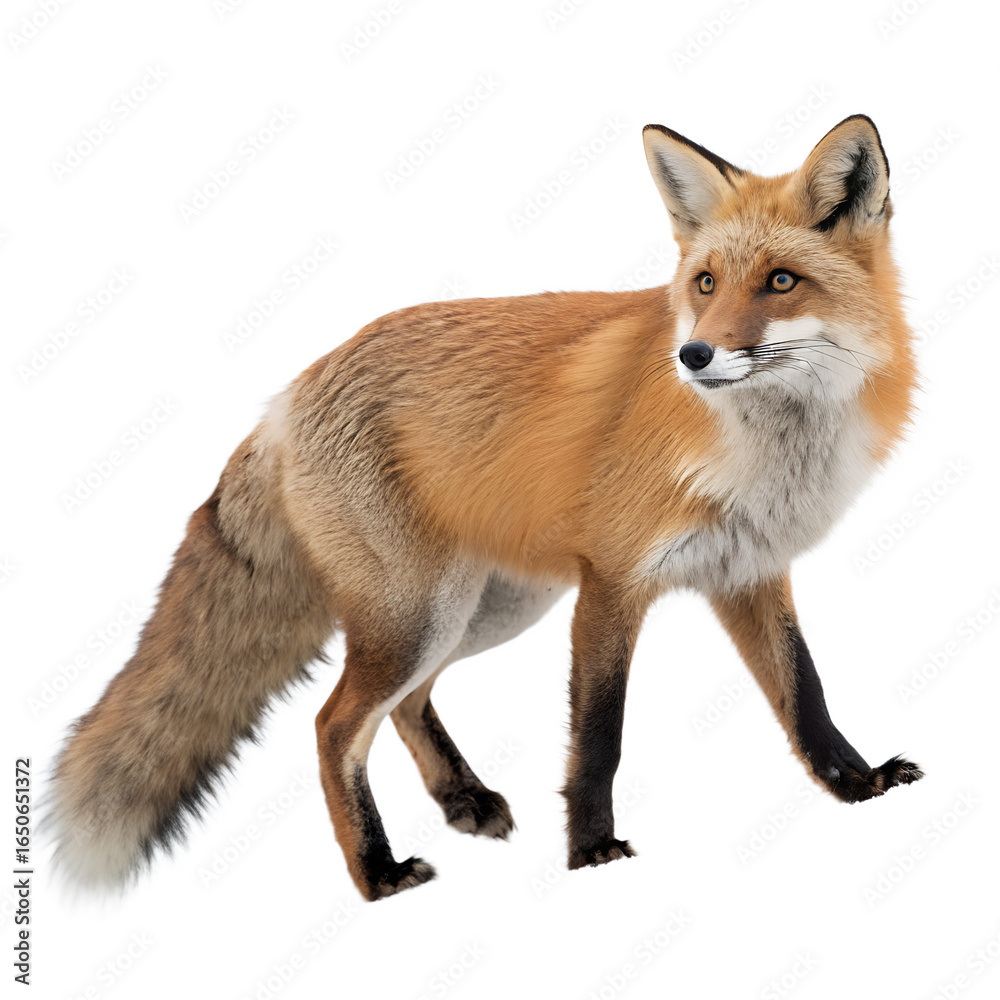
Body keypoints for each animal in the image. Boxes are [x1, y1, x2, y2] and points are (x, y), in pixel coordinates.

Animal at [50, 114, 922, 902]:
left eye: (781, 281)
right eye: (705, 283)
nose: (695, 355)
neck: (763, 451)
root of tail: (290, 394)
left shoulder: (748, 573)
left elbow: (805, 694)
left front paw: (855, 783)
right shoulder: (612, 583)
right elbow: (598, 736)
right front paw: (590, 849)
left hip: (483, 609)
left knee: (407, 707)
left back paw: (461, 800)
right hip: (419, 615)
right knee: (335, 724)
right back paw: (375, 871)